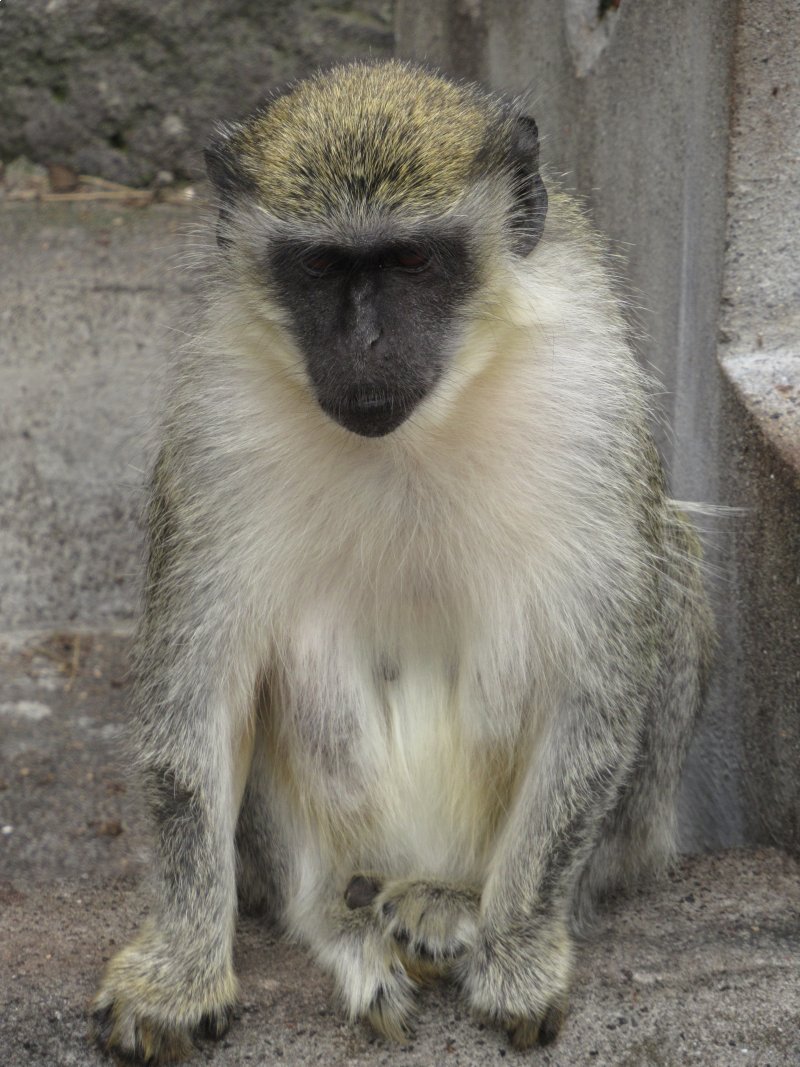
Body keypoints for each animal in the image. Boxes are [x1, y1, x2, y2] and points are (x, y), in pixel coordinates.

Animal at [92, 60, 713, 1062]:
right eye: (320, 266)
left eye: (413, 261)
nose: (366, 343)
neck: (416, 435)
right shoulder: (216, 424)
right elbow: (198, 707)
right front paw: (181, 968)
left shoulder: (590, 396)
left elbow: (594, 698)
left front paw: (520, 947)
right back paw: (343, 920)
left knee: (671, 568)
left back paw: (453, 903)